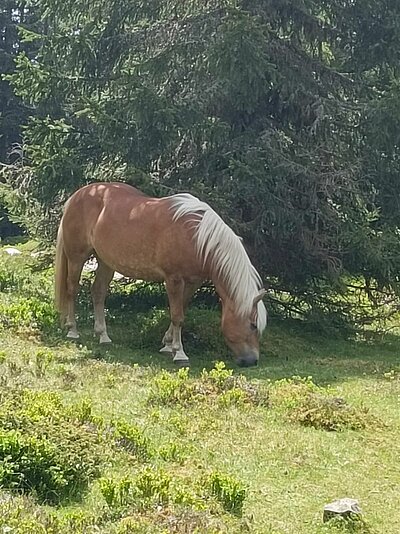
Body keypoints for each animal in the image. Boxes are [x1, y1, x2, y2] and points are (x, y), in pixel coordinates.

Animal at [53, 184, 266, 368]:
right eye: (253, 325)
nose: (252, 361)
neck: (197, 236)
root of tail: (77, 195)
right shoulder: (173, 279)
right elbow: (177, 316)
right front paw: (179, 353)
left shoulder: (192, 282)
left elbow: (181, 310)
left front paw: (167, 344)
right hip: (77, 257)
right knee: (72, 288)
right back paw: (72, 330)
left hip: (105, 261)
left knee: (98, 292)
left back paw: (103, 335)